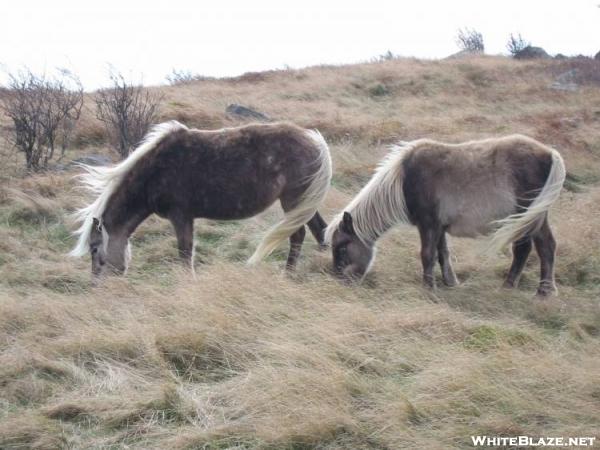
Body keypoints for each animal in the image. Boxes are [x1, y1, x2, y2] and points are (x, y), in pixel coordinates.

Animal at [72, 121, 332, 280]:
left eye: (94, 248)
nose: (96, 285)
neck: (155, 171)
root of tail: (314, 140)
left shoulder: (181, 217)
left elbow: (185, 253)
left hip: (294, 200)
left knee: (298, 235)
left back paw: (288, 274)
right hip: (304, 202)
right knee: (320, 230)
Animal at [326, 135, 564, 298]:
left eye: (342, 248)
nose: (340, 280)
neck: (404, 180)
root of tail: (550, 153)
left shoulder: (428, 225)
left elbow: (427, 255)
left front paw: (428, 288)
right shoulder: (438, 227)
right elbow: (442, 254)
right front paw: (450, 282)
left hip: (530, 216)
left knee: (542, 247)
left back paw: (542, 292)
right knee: (529, 249)